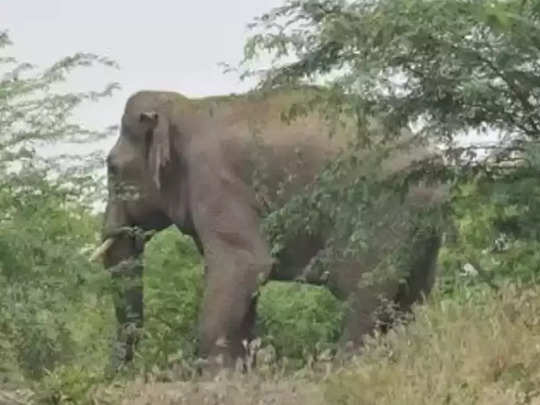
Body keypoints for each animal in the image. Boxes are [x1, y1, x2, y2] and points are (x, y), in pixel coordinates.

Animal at [93, 85, 448, 370]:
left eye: (112, 169)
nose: (121, 373)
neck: (184, 106)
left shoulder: (217, 184)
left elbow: (243, 266)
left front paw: (215, 379)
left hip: (380, 213)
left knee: (363, 295)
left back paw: (345, 371)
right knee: (409, 301)